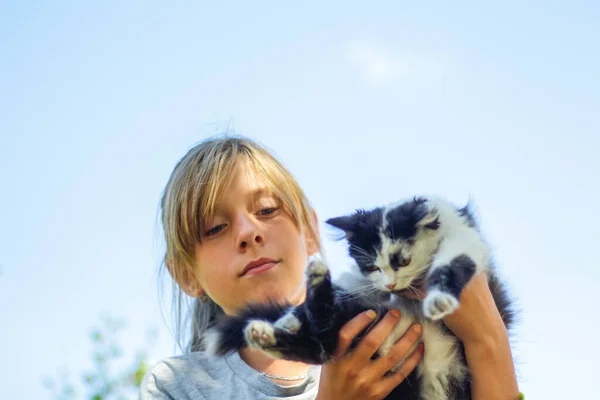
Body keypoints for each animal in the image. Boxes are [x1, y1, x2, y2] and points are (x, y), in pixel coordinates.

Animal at [204, 197, 512, 400]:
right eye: (372, 266)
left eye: (402, 260)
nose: (390, 283)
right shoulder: (364, 283)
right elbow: (351, 285)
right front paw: (292, 315)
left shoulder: (464, 239)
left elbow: (453, 264)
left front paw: (440, 299)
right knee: (323, 344)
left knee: (322, 345)